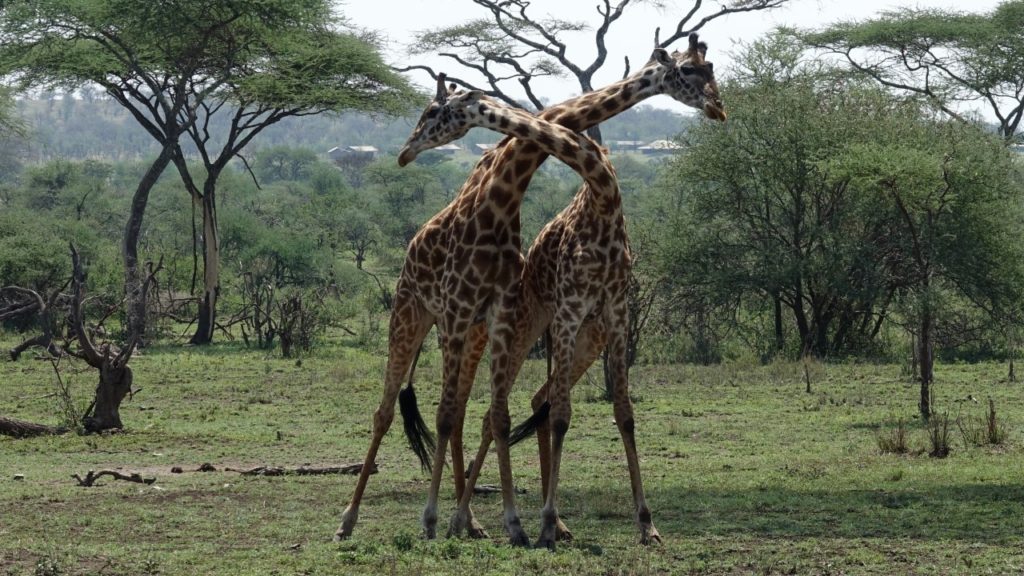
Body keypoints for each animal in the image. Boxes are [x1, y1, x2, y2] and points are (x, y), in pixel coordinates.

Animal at [333, 32, 720, 541]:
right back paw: (352, 520)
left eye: (709, 68)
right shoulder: (478, 309)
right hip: (416, 315)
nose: (405, 151)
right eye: (689, 71)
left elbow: (604, 413)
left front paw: (529, 523)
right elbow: (472, 414)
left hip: (516, 332)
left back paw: (479, 521)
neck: (501, 201)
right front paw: (443, 519)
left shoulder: (562, 311)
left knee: (479, 410)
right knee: (393, 412)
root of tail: (411, 248)